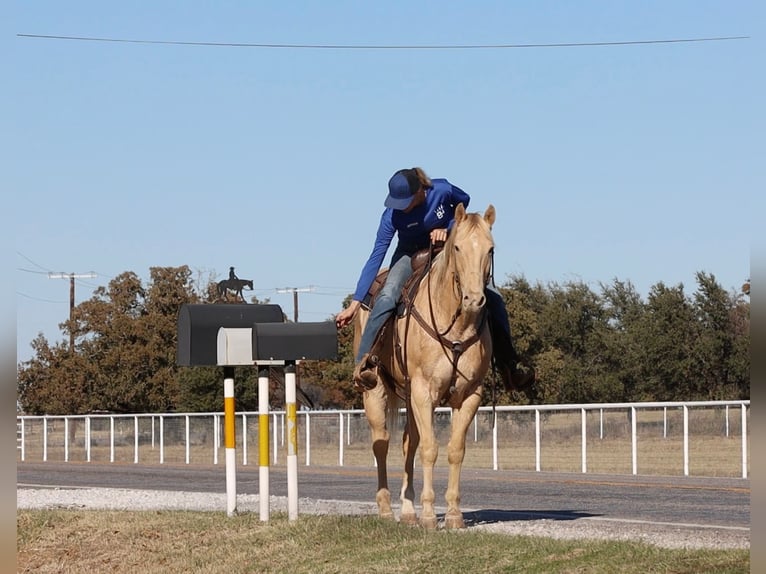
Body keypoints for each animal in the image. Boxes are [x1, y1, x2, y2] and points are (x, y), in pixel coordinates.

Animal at [354, 203, 495, 529]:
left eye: (490, 249)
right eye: (457, 247)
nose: (474, 299)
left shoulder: (470, 395)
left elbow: (455, 450)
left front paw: (454, 514)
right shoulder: (423, 391)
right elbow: (430, 449)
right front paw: (430, 515)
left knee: (409, 443)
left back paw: (408, 511)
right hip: (375, 390)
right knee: (381, 443)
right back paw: (385, 509)